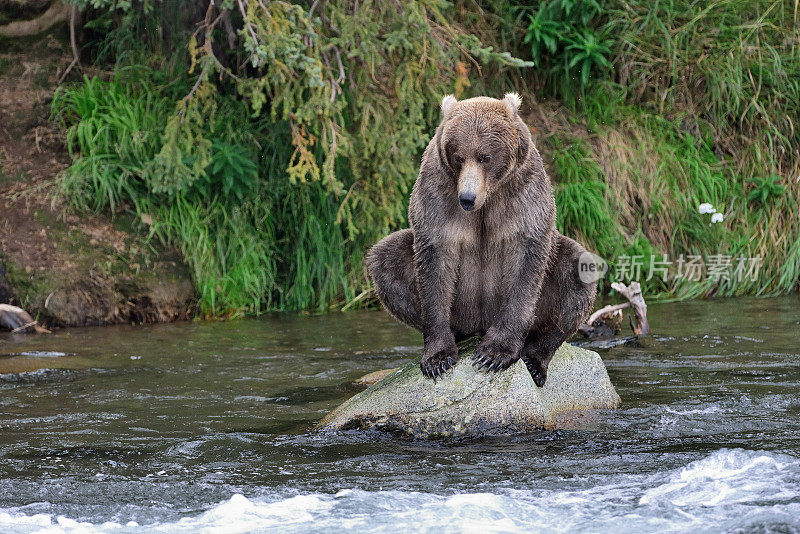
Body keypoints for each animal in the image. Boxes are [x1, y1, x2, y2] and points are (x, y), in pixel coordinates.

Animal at [366, 94, 596, 388]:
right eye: (458, 156)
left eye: (485, 156)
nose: (467, 197)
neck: (488, 198)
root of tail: (479, 325)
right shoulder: (438, 194)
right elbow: (434, 263)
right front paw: (437, 358)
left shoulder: (523, 194)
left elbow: (526, 264)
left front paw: (494, 354)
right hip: (457, 308)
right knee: (387, 259)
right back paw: (457, 334)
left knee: (577, 272)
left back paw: (535, 360)